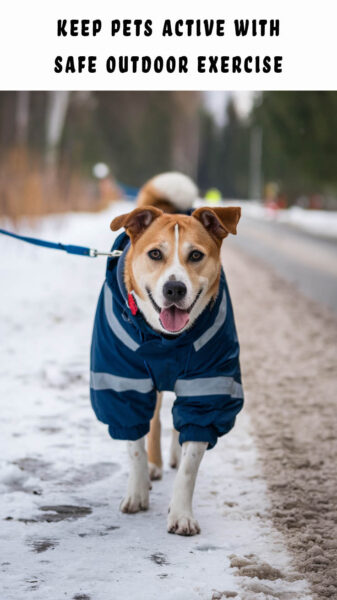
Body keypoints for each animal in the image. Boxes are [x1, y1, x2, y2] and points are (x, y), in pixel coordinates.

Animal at [89, 172, 243, 536]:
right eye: (156, 254)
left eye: (196, 255)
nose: (174, 288)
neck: (167, 341)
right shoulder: (123, 380)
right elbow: (134, 445)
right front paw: (137, 492)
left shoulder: (208, 386)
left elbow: (190, 462)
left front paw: (181, 514)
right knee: (155, 420)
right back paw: (155, 467)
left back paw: (170, 456)